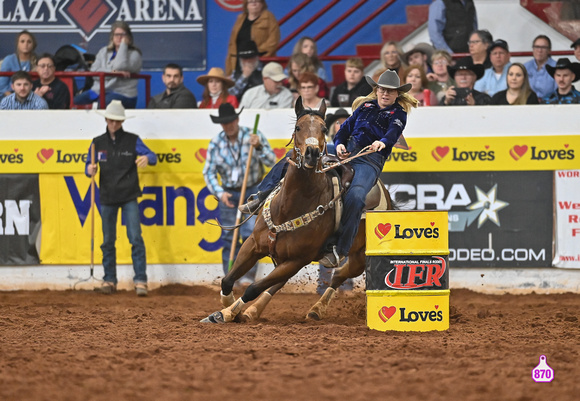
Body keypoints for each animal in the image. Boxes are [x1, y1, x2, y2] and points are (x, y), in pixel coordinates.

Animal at [201, 97, 394, 322]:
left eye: (324, 128)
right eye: (297, 127)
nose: (312, 153)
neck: (288, 208)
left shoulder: (298, 259)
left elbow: (253, 288)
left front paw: (229, 312)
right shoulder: (253, 245)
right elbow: (227, 280)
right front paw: (227, 309)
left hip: (358, 257)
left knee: (338, 275)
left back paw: (315, 309)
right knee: (285, 282)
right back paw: (255, 311)